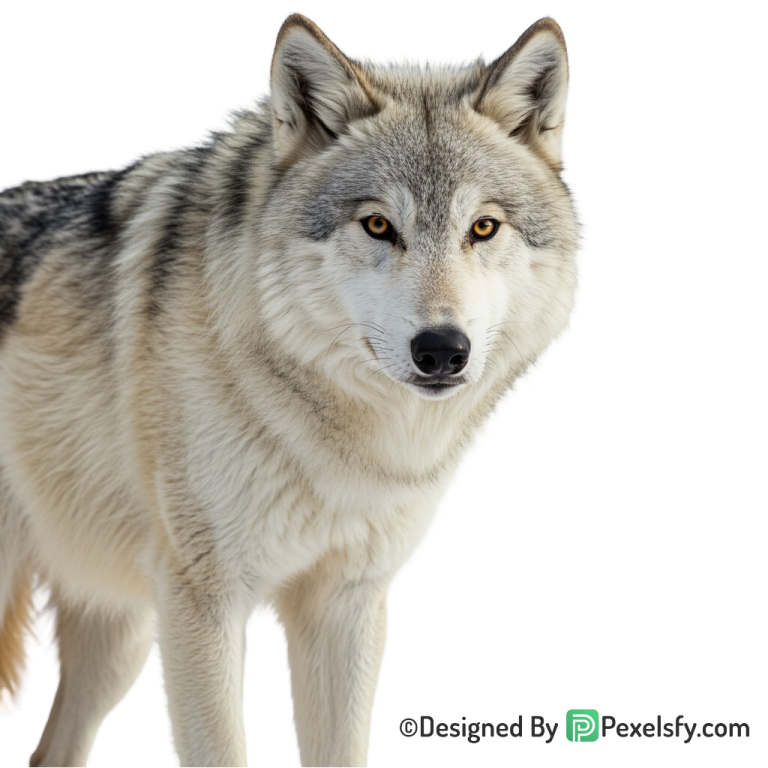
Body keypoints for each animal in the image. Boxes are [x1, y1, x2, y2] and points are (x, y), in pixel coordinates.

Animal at [0, 10, 587, 767]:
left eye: (483, 227)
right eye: (378, 224)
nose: (441, 350)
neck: (329, 441)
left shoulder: (346, 607)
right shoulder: (203, 605)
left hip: (119, 635)